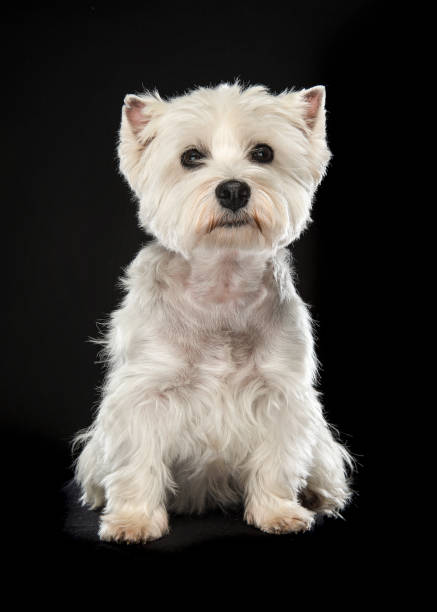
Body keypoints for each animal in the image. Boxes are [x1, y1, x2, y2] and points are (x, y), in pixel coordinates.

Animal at [73, 82, 354, 544]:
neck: (222, 283)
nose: (234, 190)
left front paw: (278, 513)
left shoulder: (279, 393)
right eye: (190, 156)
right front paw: (134, 521)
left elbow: (277, 461)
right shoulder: (144, 393)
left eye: (263, 153)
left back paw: (317, 496)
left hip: (323, 449)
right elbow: (137, 462)